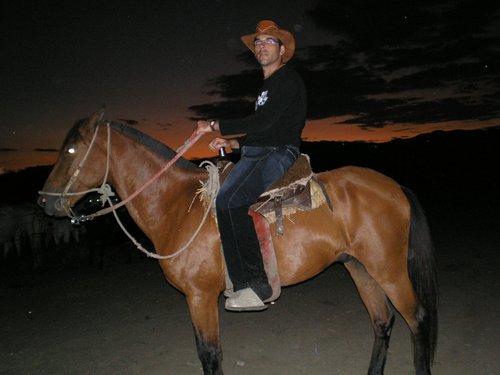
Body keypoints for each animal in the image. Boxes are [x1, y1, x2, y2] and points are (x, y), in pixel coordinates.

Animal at [39, 110, 438, 374]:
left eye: (71, 151)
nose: (44, 202)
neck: (177, 204)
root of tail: (394, 187)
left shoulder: (200, 297)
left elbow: (210, 354)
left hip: (388, 270)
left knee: (417, 319)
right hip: (360, 268)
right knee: (383, 322)